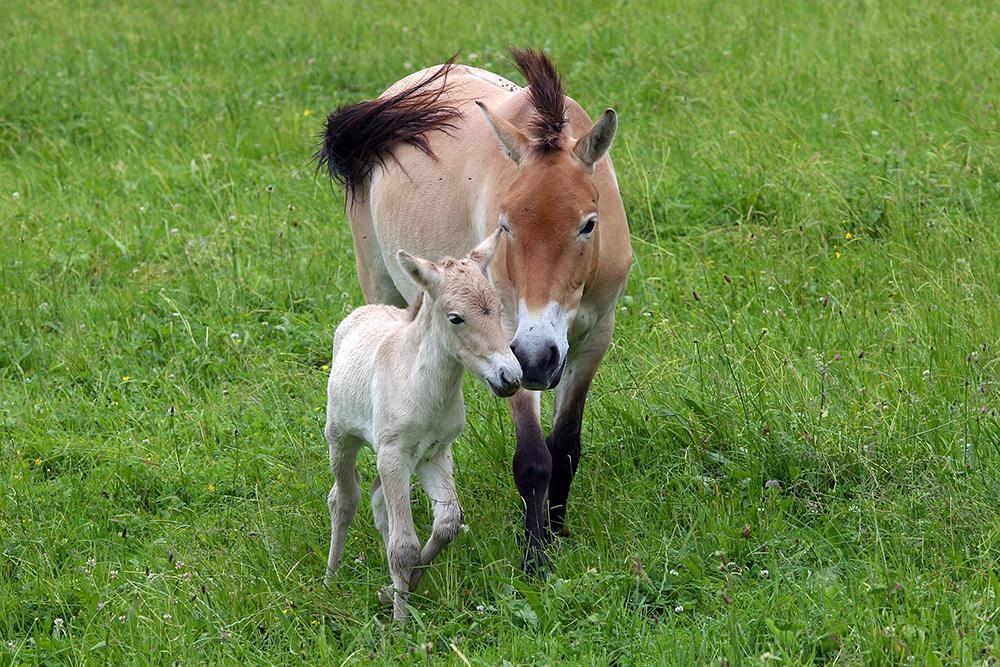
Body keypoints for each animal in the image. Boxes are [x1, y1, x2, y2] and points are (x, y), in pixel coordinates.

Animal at [318, 48, 632, 568]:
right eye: (505, 225)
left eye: (589, 223)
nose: (539, 356)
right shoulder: (509, 339)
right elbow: (534, 458)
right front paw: (536, 558)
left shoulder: (593, 338)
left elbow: (565, 447)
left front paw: (558, 533)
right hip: (381, 288)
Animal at [322, 230, 524, 620]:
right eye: (456, 318)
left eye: (495, 305)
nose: (510, 377)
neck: (419, 384)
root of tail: (362, 312)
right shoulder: (393, 454)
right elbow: (404, 547)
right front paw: (400, 623)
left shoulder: (436, 453)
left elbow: (447, 523)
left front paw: (400, 588)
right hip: (341, 438)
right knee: (344, 499)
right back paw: (330, 578)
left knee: (377, 498)